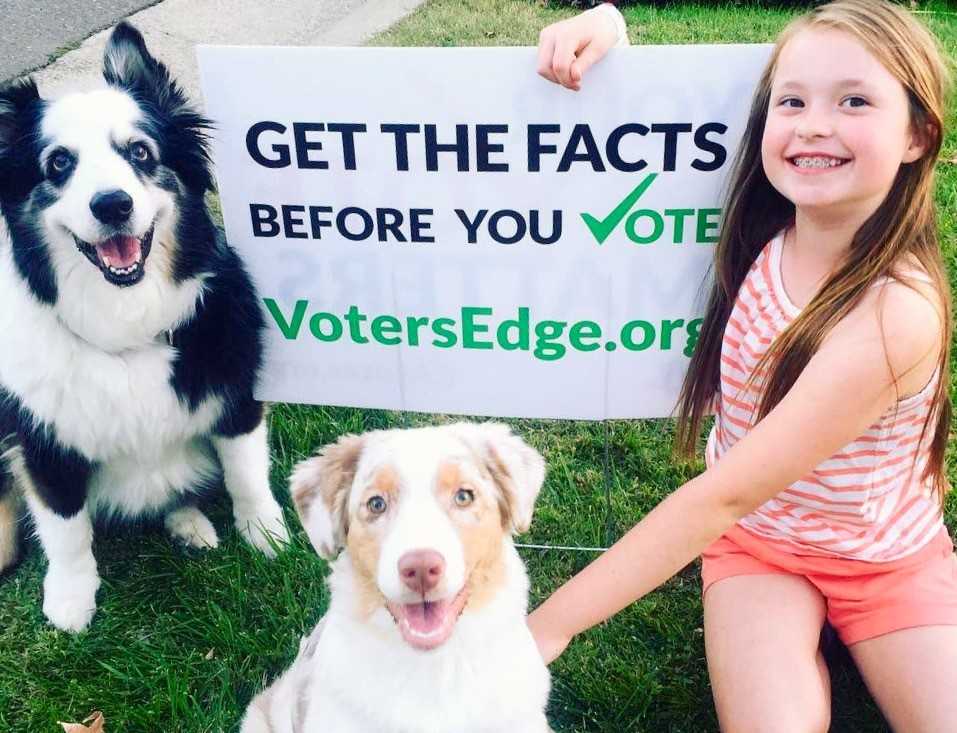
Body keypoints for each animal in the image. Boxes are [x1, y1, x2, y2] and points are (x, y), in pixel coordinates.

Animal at [0, 22, 288, 628]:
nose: (112, 204)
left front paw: (266, 533)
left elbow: (246, 470)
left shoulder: (236, 389)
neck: (124, 322)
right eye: (58, 164)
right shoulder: (41, 438)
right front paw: (70, 599)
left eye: (139, 151)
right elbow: (64, 526)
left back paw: (190, 524)